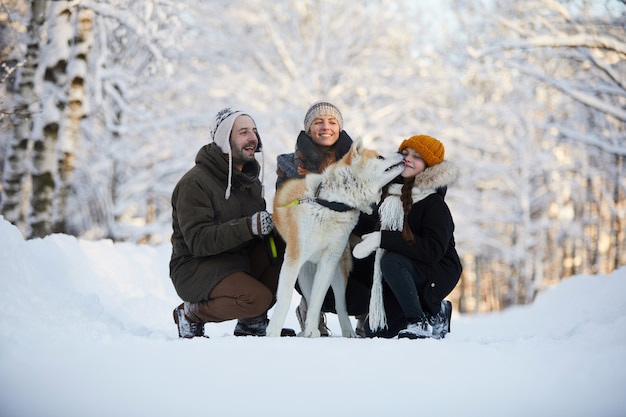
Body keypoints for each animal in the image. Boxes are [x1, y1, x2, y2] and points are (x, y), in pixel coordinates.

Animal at [264, 140, 402, 338]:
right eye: (380, 157)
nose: (402, 153)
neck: (330, 205)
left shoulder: (329, 261)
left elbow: (319, 301)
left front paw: (312, 330)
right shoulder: (293, 259)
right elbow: (286, 298)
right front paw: (274, 332)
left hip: (336, 271)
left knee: (339, 304)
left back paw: (344, 331)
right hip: (305, 273)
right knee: (308, 298)